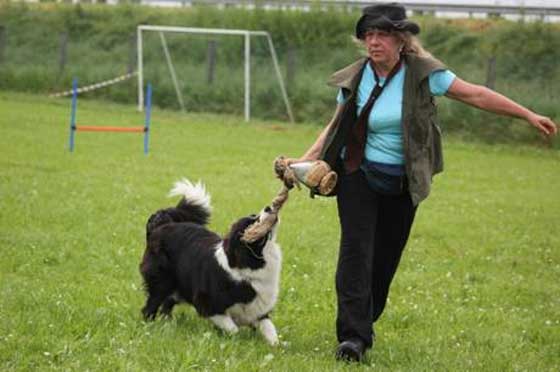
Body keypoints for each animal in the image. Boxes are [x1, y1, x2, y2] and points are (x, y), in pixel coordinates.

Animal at [140, 179, 280, 344]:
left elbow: (270, 329)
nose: (268, 207)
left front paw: (276, 345)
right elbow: (233, 328)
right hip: (161, 281)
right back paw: (149, 328)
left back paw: (168, 324)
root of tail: (161, 224)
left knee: (167, 304)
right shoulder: (207, 303)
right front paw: (235, 340)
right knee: (150, 306)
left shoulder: (258, 309)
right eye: (252, 223)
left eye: (254, 216)